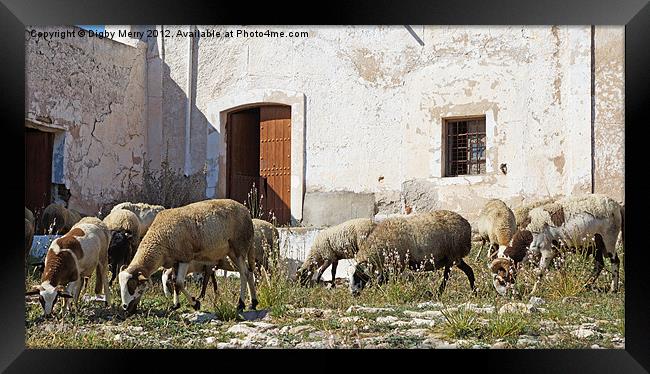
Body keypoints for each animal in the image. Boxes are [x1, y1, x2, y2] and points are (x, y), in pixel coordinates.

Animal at [117, 200, 256, 314]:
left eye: (133, 286)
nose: (125, 307)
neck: (159, 240)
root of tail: (246, 211)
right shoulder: (175, 260)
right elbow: (174, 281)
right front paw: (176, 305)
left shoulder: (185, 257)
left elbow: (179, 282)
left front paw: (195, 303)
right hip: (232, 252)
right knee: (249, 273)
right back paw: (253, 303)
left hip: (239, 246)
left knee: (243, 274)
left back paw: (240, 304)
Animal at [346, 212, 474, 296]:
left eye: (359, 275)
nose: (353, 293)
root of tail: (467, 224)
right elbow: (383, 278)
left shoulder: (399, 263)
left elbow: (385, 279)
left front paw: (379, 291)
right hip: (455, 258)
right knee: (469, 270)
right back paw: (474, 292)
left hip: (452, 256)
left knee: (446, 276)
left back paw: (439, 293)